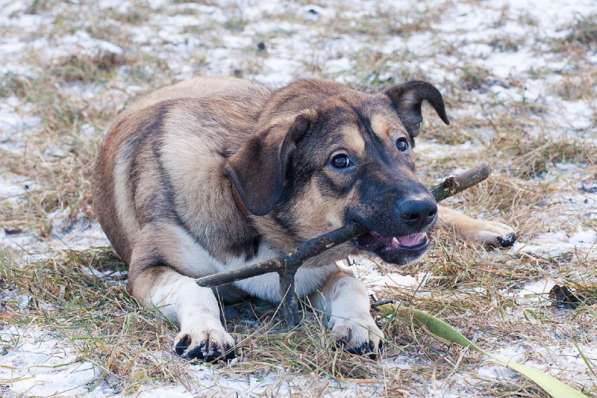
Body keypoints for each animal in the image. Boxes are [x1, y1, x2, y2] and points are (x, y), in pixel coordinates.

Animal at [91, 77, 516, 360]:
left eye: (402, 143)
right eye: (340, 160)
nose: (422, 209)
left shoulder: (315, 272)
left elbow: (351, 284)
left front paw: (359, 325)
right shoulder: (147, 269)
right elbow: (194, 287)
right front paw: (206, 332)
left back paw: (490, 230)